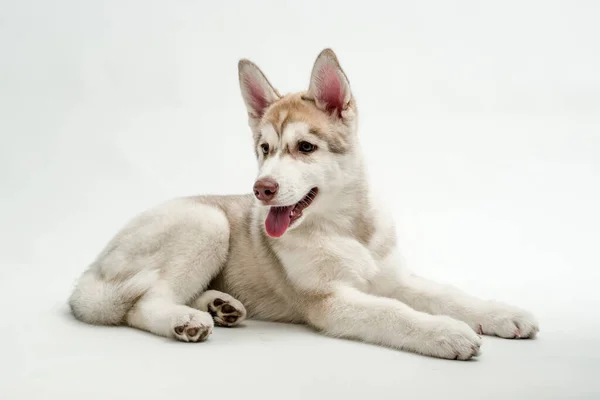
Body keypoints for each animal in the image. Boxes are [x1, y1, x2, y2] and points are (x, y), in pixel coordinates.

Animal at [70, 47, 540, 360]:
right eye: (264, 149)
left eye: (305, 147)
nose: (261, 189)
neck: (348, 229)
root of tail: (92, 269)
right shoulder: (329, 299)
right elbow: (393, 313)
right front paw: (444, 332)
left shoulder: (394, 277)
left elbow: (448, 293)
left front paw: (502, 313)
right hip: (205, 223)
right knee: (143, 303)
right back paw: (185, 321)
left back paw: (221, 306)